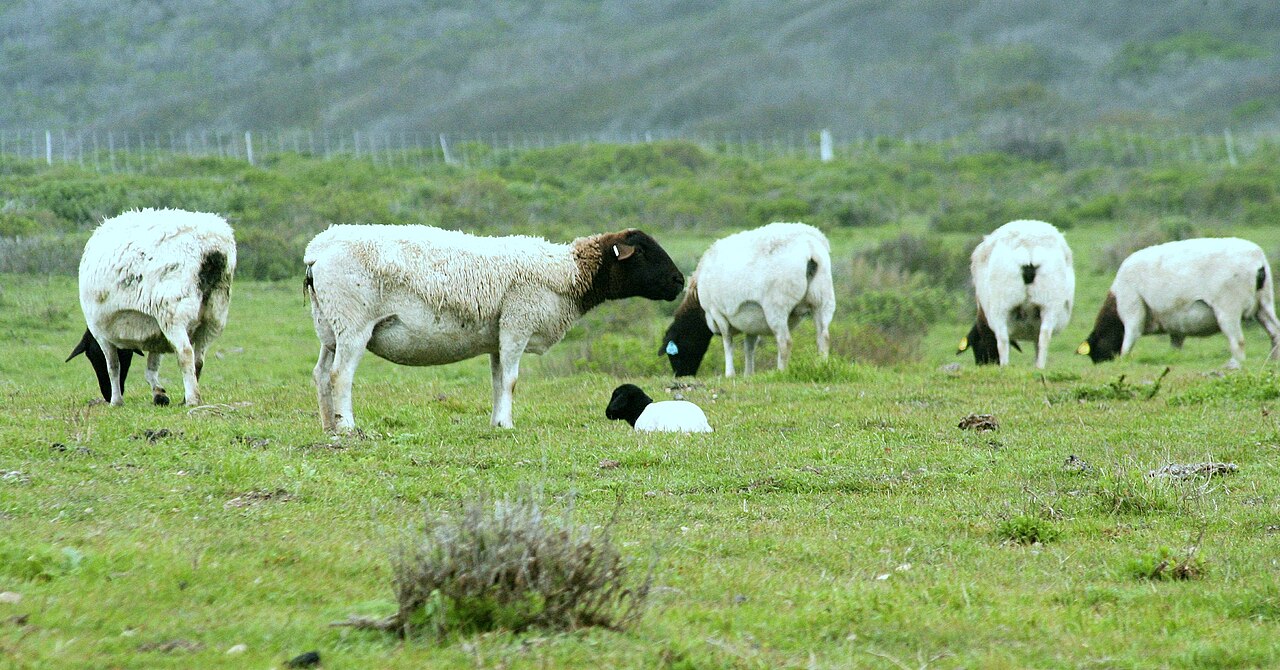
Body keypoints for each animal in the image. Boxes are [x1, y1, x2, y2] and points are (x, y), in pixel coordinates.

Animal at [66, 208, 236, 406]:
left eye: (92, 356)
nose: (106, 395)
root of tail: (211, 249)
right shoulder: (157, 333)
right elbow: (151, 367)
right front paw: (159, 395)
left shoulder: (101, 333)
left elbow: (113, 367)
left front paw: (116, 401)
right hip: (215, 315)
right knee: (199, 359)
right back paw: (187, 398)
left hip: (173, 312)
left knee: (185, 353)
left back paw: (192, 400)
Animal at [304, 225, 684, 431]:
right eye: (643, 251)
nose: (679, 281)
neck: (569, 274)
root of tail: (316, 249)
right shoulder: (518, 323)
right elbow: (512, 381)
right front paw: (507, 423)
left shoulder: (499, 337)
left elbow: (499, 380)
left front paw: (497, 423)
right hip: (353, 322)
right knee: (340, 375)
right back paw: (347, 426)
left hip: (328, 327)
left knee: (321, 374)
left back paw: (328, 426)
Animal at [661, 222, 835, 377]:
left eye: (675, 352)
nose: (681, 375)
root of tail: (809, 249)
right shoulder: (752, 320)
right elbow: (749, 347)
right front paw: (748, 374)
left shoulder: (716, 311)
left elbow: (727, 341)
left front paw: (730, 374)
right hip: (824, 300)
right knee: (823, 337)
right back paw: (822, 367)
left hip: (776, 306)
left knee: (785, 341)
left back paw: (781, 372)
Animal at [956, 219, 1074, 368]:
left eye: (977, 345)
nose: (984, 364)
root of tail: (1028, 245)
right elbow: (1037, 343)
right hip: (1049, 301)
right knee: (1045, 335)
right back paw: (1040, 367)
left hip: (1001, 304)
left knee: (1002, 339)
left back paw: (1004, 366)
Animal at [1077, 237, 1280, 368]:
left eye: (1096, 347)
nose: (1100, 365)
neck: (1116, 300)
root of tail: (1257, 260)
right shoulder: (1176, 327)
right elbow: (1175, 347)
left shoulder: (1132, 313)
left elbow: (1128, 342)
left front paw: (1123, 361)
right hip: (1264, 305)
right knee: (1275, 332)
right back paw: (1273, 361)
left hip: (1228, 310)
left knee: (1238, 341)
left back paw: (1234, 364)